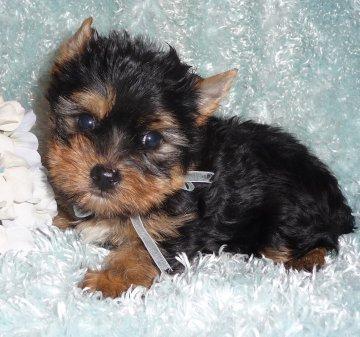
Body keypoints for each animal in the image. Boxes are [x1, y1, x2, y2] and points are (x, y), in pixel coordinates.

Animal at [45, 18, 354, 296]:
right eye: (85, 121)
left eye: (151, 140)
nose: (104, 175)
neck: (181, 176)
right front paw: (57, 216)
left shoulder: (180, 227)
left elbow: (144, 251)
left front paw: (109, 282)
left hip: (289, 214)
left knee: (315, 241)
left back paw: (303, 261)